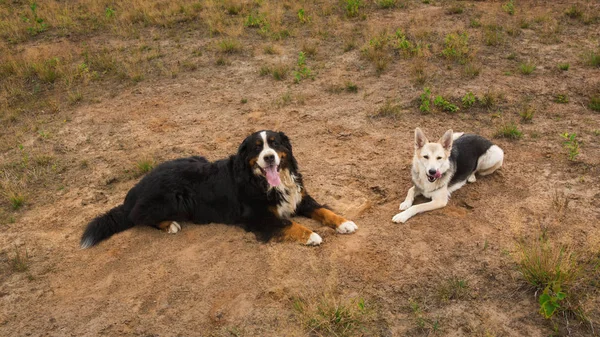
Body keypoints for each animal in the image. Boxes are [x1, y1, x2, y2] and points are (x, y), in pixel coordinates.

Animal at [82, 130, 358, 248]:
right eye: (257, 148)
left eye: (275, 144)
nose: (269, 157)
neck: (261, 181)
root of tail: (135, 190)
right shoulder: (258, 217)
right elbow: (290, 224)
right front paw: (312, 236)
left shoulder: (298, 197)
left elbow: (324, 210)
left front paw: (344, 222)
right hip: (173, 198)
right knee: (137, 216)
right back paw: (169, 224)